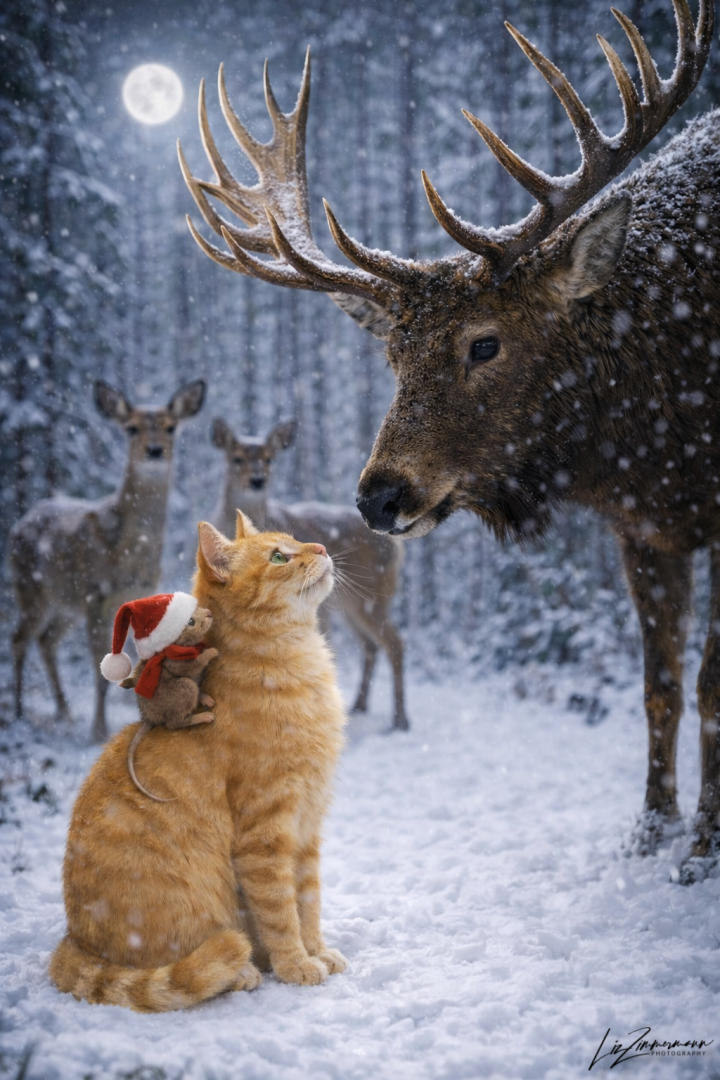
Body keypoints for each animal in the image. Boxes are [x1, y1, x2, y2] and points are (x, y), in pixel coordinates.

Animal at [10, 379, 206, 743]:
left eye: (171, 427)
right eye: (131, 428)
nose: (154, 450)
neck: (131, 552)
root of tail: (23, 520)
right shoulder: (95, 593)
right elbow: (100, 664)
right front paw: (99, 731)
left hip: (64, 603)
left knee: (46, 640)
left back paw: (64, 712)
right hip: (31, 588)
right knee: (20, 640)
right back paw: (17, 714)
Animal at [210, 416, 408, 730]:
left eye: (269, 458)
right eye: (236, 457)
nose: (257, 479)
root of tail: (396, 546)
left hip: (373, 595)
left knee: (394, 643)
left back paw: (400, 720)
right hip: (349, 603)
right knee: (370, 645)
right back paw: (359, 705)